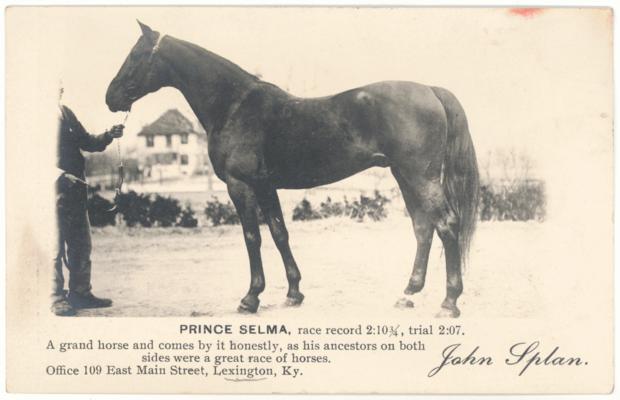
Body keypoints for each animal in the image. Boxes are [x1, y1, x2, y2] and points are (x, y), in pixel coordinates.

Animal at [106, 21, 480, 318]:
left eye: (136, 56)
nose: (110, 98)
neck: (234, 105)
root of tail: (430, 90)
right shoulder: (265, 186)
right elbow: (278, 233)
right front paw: (293, 293)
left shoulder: (240, 185)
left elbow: (252, 236)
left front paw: (250, 298)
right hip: (404, 176)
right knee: (423, 227)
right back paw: (408, 294)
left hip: (420, 177)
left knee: (446, 225)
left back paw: (449, 303)